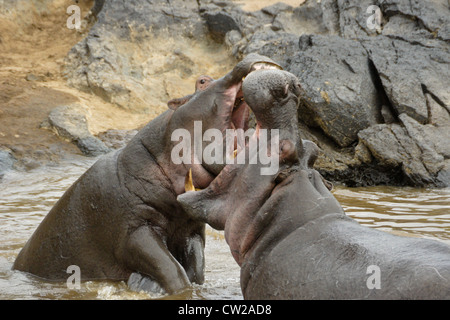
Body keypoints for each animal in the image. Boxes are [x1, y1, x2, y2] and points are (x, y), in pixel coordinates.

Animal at [12, 53, 282, 296]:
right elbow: (170, 269)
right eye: (202, 81)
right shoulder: (135, 231)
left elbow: (195, 267)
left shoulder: (191, 230)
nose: (252, 54)